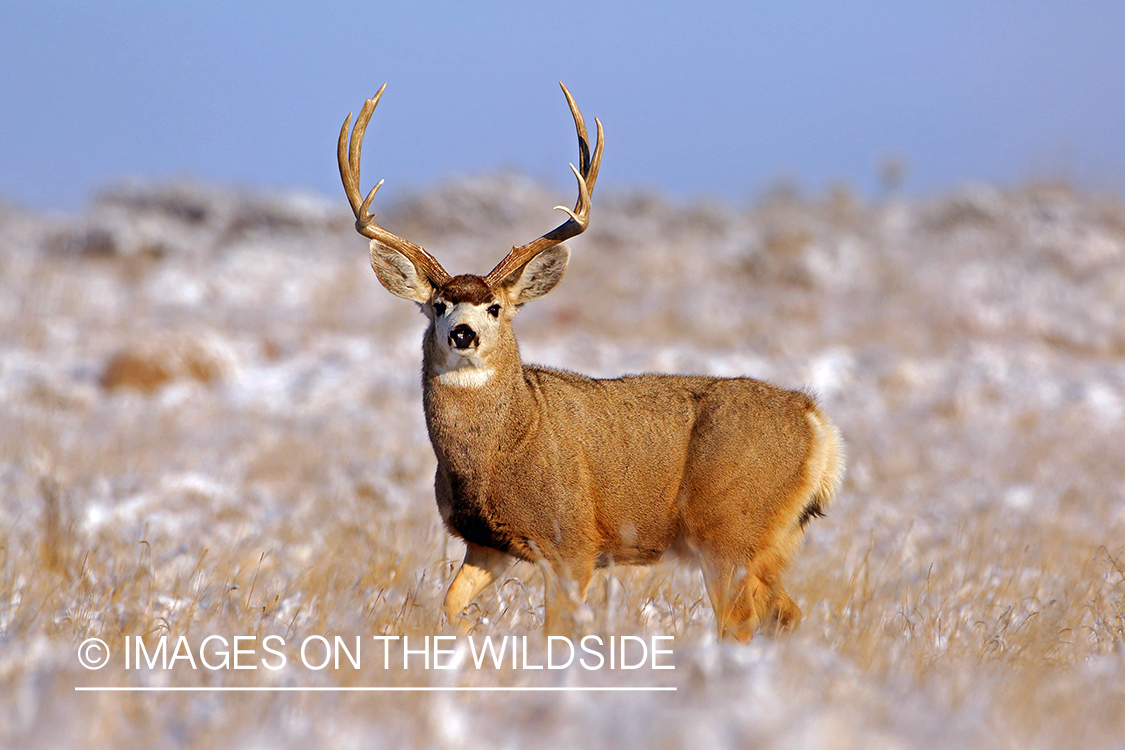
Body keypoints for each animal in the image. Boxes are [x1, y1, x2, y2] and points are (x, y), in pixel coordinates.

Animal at [333, 84, 846, 643]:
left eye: (495, 307)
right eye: (439, 304)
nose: (462, 334)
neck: (507, 442)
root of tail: (816, 421)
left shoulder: (573, 542)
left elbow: (556, 630)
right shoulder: (487, 543)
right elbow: (447, 606)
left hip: (729, 530)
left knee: (740, 622)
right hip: (771, 542)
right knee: (788, 614)